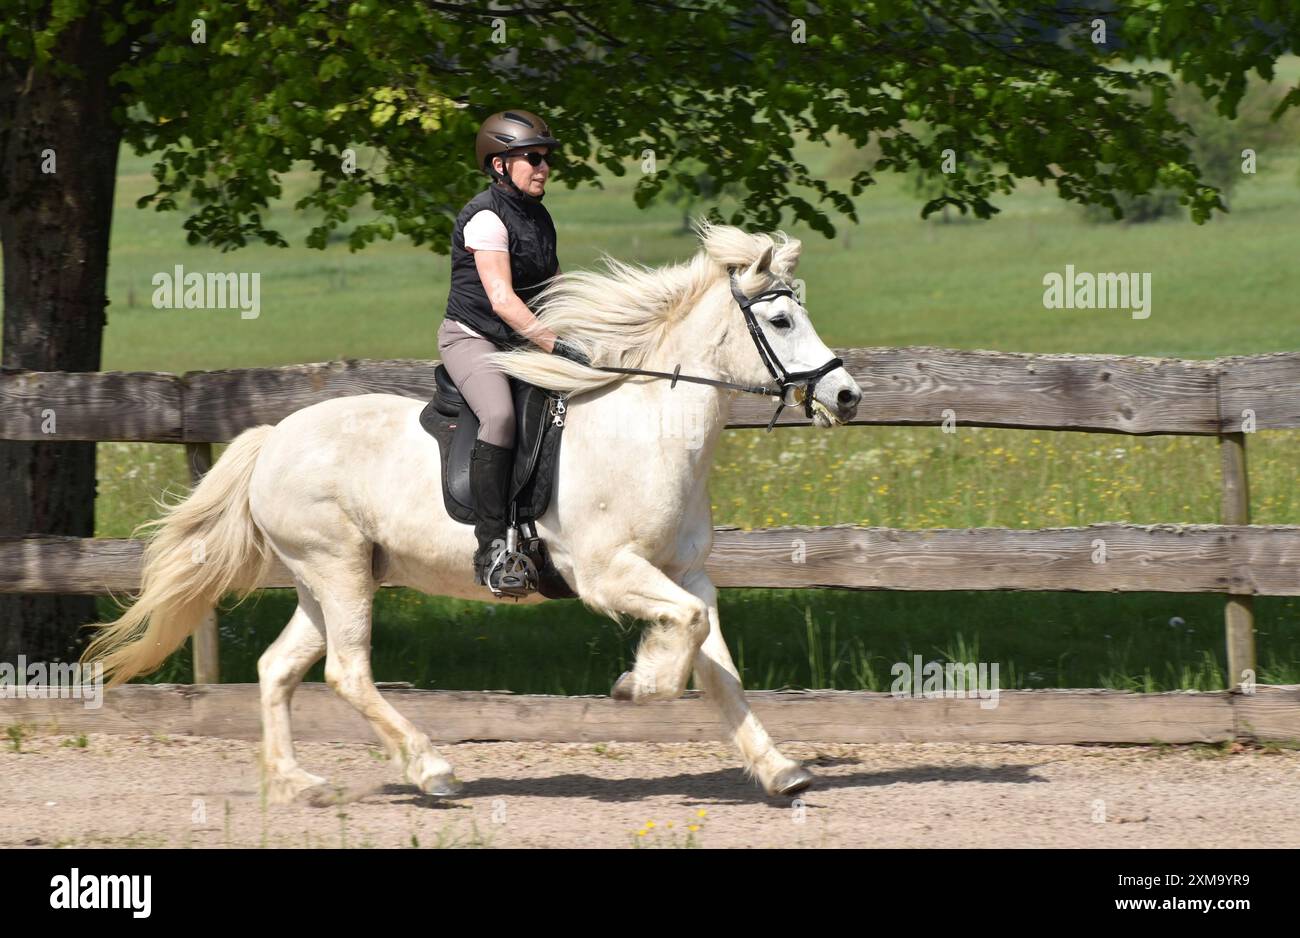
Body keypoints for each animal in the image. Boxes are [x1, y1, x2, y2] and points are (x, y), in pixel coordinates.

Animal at [89, 216, 863, 795]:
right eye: (783, 319)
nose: (848, 396)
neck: (648, 429)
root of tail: (273, 437)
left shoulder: (688, 574)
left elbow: (716, 664)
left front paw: (780, 770)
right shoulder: (607, 574)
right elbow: (688, 638)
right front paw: (637, 684)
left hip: (328, 578)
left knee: (279, 667)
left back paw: (298, 783)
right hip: (336, 567)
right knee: (346, 671)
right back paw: (432, 769)